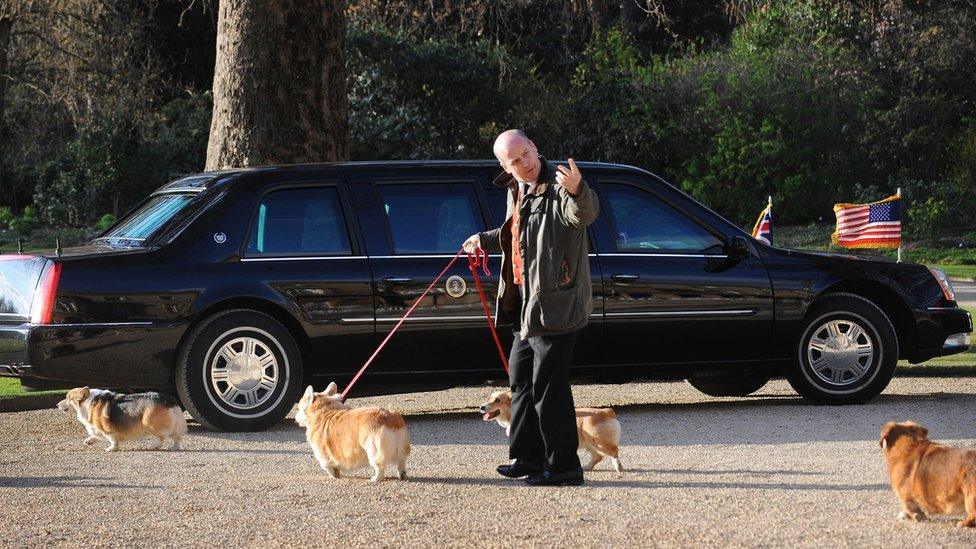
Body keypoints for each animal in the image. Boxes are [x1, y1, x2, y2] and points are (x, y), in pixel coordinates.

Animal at [56, 386, 187, 450]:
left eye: (67, 398)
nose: (57, 405)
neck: (88, 402)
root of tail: (169, 400)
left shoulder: (107, 430)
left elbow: (112, 440)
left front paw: (112, 448)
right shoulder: (97, 430)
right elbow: (95, 435)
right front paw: (88, 441)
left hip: (150, 423)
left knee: (163, 436)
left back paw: (154, 446)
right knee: (176, 437)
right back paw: (174, 447)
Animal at [480, 390, 624, 470]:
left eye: (497, 400)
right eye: (489, 398)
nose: (481, 407)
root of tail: (607, 412)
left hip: (598, 441)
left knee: (613, 451)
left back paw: (618, 467)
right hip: (588, 444)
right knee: (598, 456)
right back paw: (586, 467)